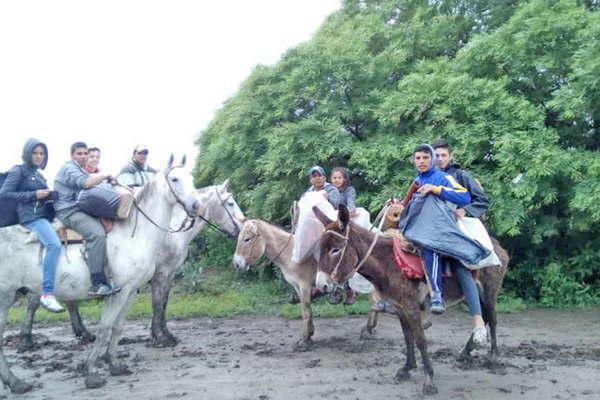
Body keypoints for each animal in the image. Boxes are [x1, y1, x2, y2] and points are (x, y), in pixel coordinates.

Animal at [0, 155, 198, 392]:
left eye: (191, 177)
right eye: (175, 179)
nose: (196, 206)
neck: (133, 233)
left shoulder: (130, 292)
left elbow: (117, 327)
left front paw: (114, 364)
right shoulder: (117, 293)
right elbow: (104, 328)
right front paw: (92, 371)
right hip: (4, 298)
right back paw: (16, 382)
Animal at [17, 180, 245, 348]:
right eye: (230, 203)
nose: (240, 229)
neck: (168, 231)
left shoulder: (169, 273)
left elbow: (163, 303)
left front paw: (161, 333)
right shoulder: (162, 272)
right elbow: (158, 303)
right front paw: (160, 337)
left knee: (68, 302)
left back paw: (83, 333)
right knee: (34, 302)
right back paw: (26, 339)